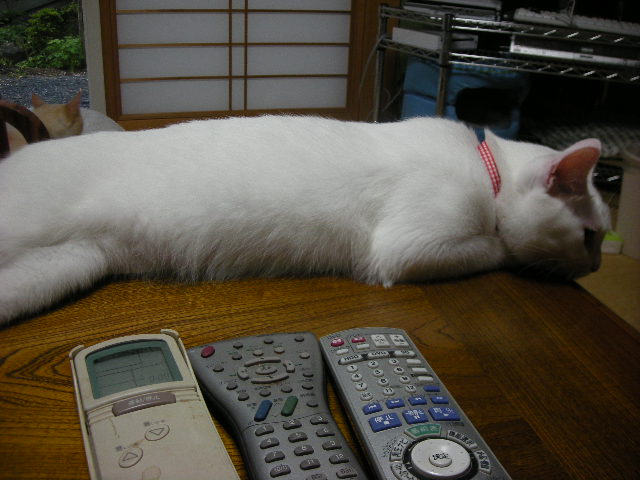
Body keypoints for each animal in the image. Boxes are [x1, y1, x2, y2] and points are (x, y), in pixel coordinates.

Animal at [0, 115, 610, 324]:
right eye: (590, 236)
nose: (598, 266)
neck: (488, 174)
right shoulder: (406, 248)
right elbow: (497, 246)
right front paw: (515, 249)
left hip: (60, 267)